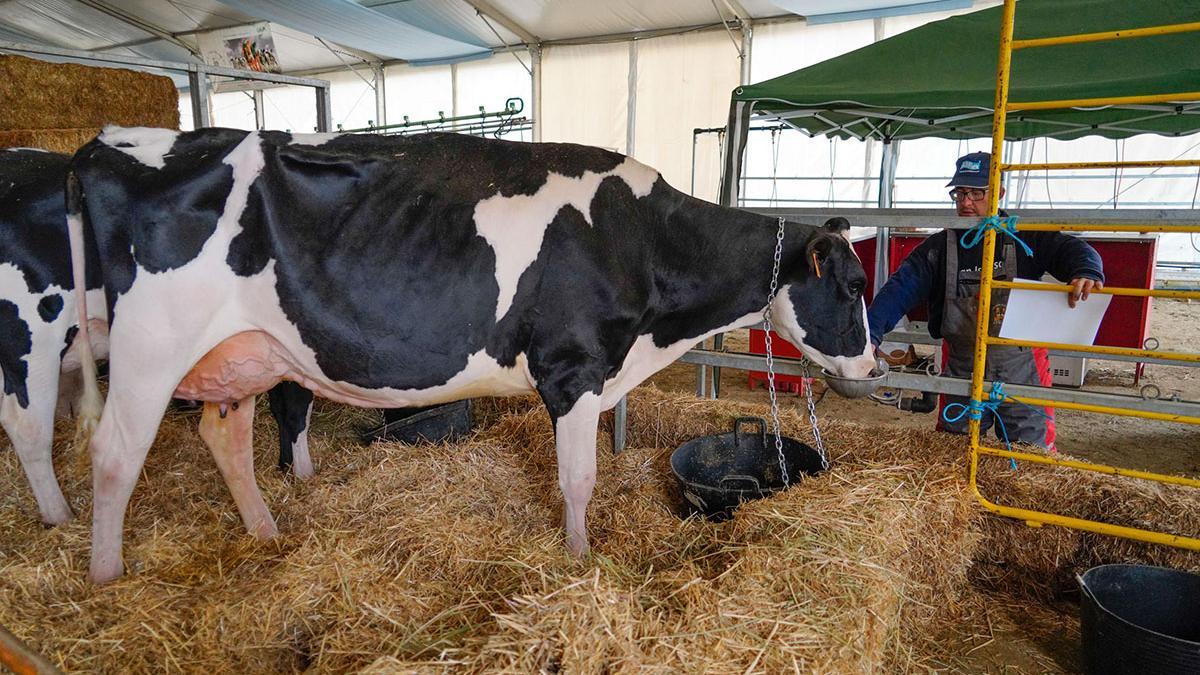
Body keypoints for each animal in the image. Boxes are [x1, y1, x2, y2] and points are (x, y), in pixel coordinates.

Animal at [68, 127, 873, 583]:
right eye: (852, 283)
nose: (873, 370)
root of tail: (108, 145)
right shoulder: (573, 367)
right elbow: (578, 480)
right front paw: (578, 561)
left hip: (241, 351)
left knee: (224, 435)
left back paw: (265, 533)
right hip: (151, 344)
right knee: (113, 453)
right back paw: (107, 576)